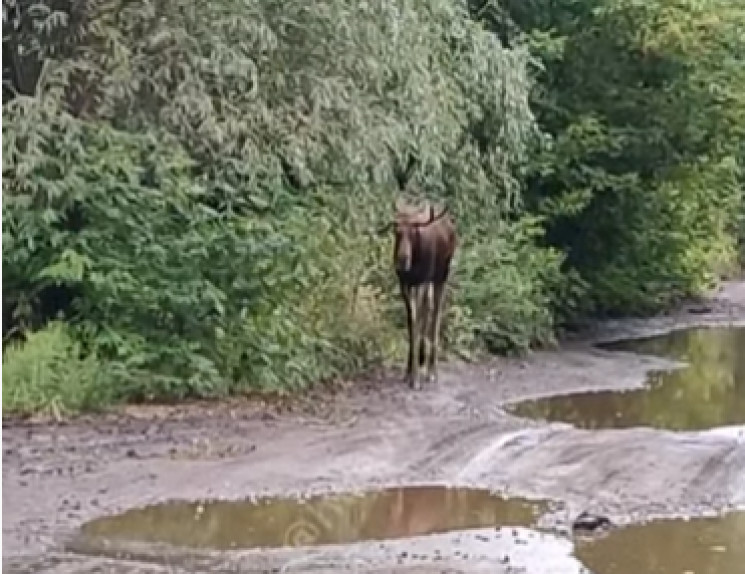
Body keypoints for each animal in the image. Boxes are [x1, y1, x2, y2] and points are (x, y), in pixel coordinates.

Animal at [392, 199, 456, 392]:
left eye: (414, 232)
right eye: (396, 231)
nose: (402, 259)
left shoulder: (422, 280)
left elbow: (417, 322)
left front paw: (416, 377)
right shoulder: (405, 283)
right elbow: (411, 322)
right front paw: (409, 371)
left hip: (441, 275)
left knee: (436, 312)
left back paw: (432, 370)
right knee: (428, 309)